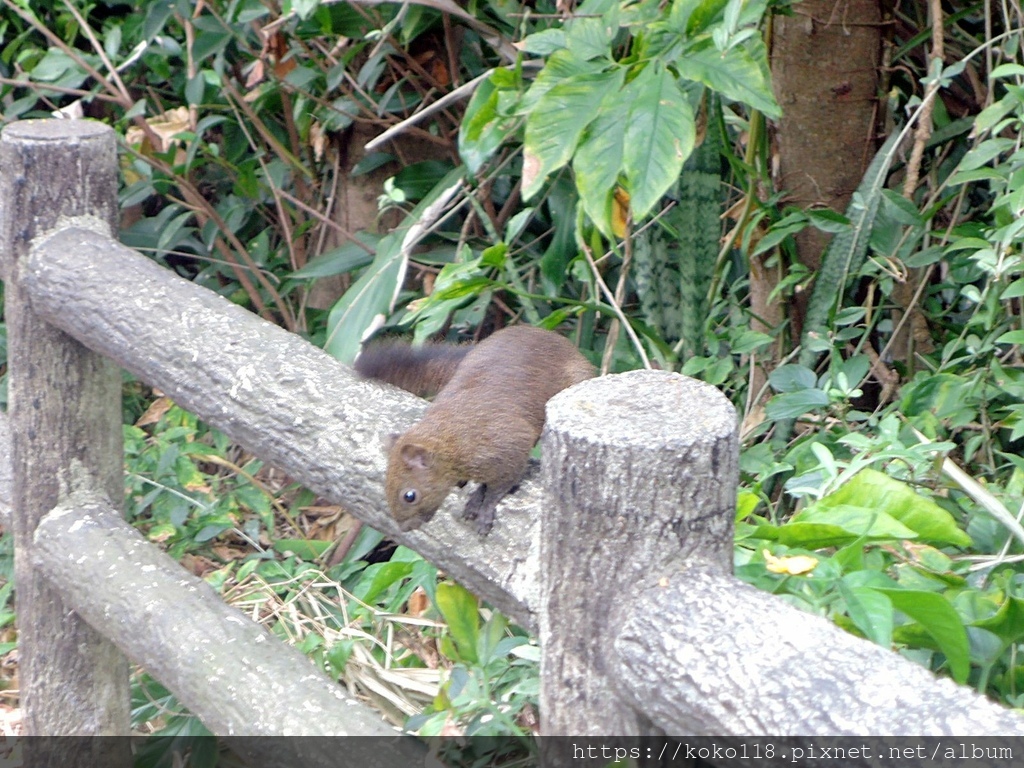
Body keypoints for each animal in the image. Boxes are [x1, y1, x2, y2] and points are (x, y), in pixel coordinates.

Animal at [356, 325, 593, 536]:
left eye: (409, 495)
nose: (405, 528)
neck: (452, 438)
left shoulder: (510, 442)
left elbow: (501, 485)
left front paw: (485, 507)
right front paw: (477, 495)